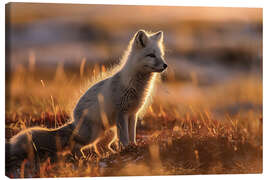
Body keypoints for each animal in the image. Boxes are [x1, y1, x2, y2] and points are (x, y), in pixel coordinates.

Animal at [5, 29, 167, 169]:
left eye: (161, 55)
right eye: (151, 55)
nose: (165, 65)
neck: (135, 85)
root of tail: (74, 119)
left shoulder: (133, 114)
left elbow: (132, 135)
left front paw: (133, 147)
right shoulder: (122, 114)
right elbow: (124, 138)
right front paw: (127, 150)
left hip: (107, 133)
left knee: (99, 147)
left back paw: (106, 155)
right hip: (93, 134)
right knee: (75, 145)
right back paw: (82, 158)